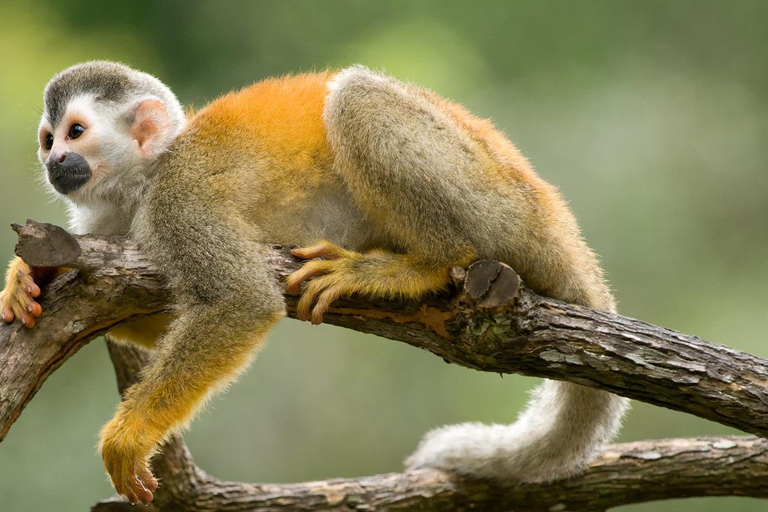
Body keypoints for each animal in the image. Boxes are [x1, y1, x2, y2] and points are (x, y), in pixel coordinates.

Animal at [0, 61, 629, 504]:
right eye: (48, 139)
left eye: (76, 133)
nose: (56, 162)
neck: (145, 179)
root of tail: (554, 216)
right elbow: (154, 319)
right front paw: (30, 274)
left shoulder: (179, 199)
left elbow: (241, 301)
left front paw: (130, 435)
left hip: (497, 201)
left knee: (356, 99)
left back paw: (423, 265)